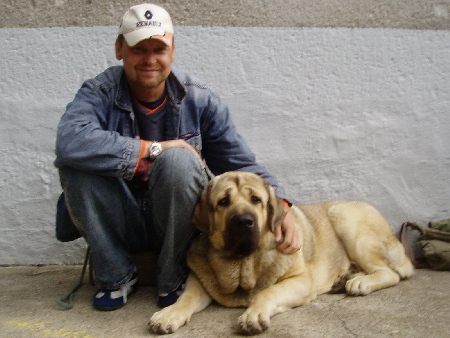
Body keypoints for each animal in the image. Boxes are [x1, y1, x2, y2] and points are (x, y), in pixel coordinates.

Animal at [149, 173, 414, 334]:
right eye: (223, 201)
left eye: (256, 199)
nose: (244, 221)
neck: (244, 262)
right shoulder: (199, 281)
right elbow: (186, 298)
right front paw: (168, 315)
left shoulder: (299, 281)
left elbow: (266, 293)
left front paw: (253, 314)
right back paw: (344, 279)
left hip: (344, 218)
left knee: (390, 272)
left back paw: (360, 283)